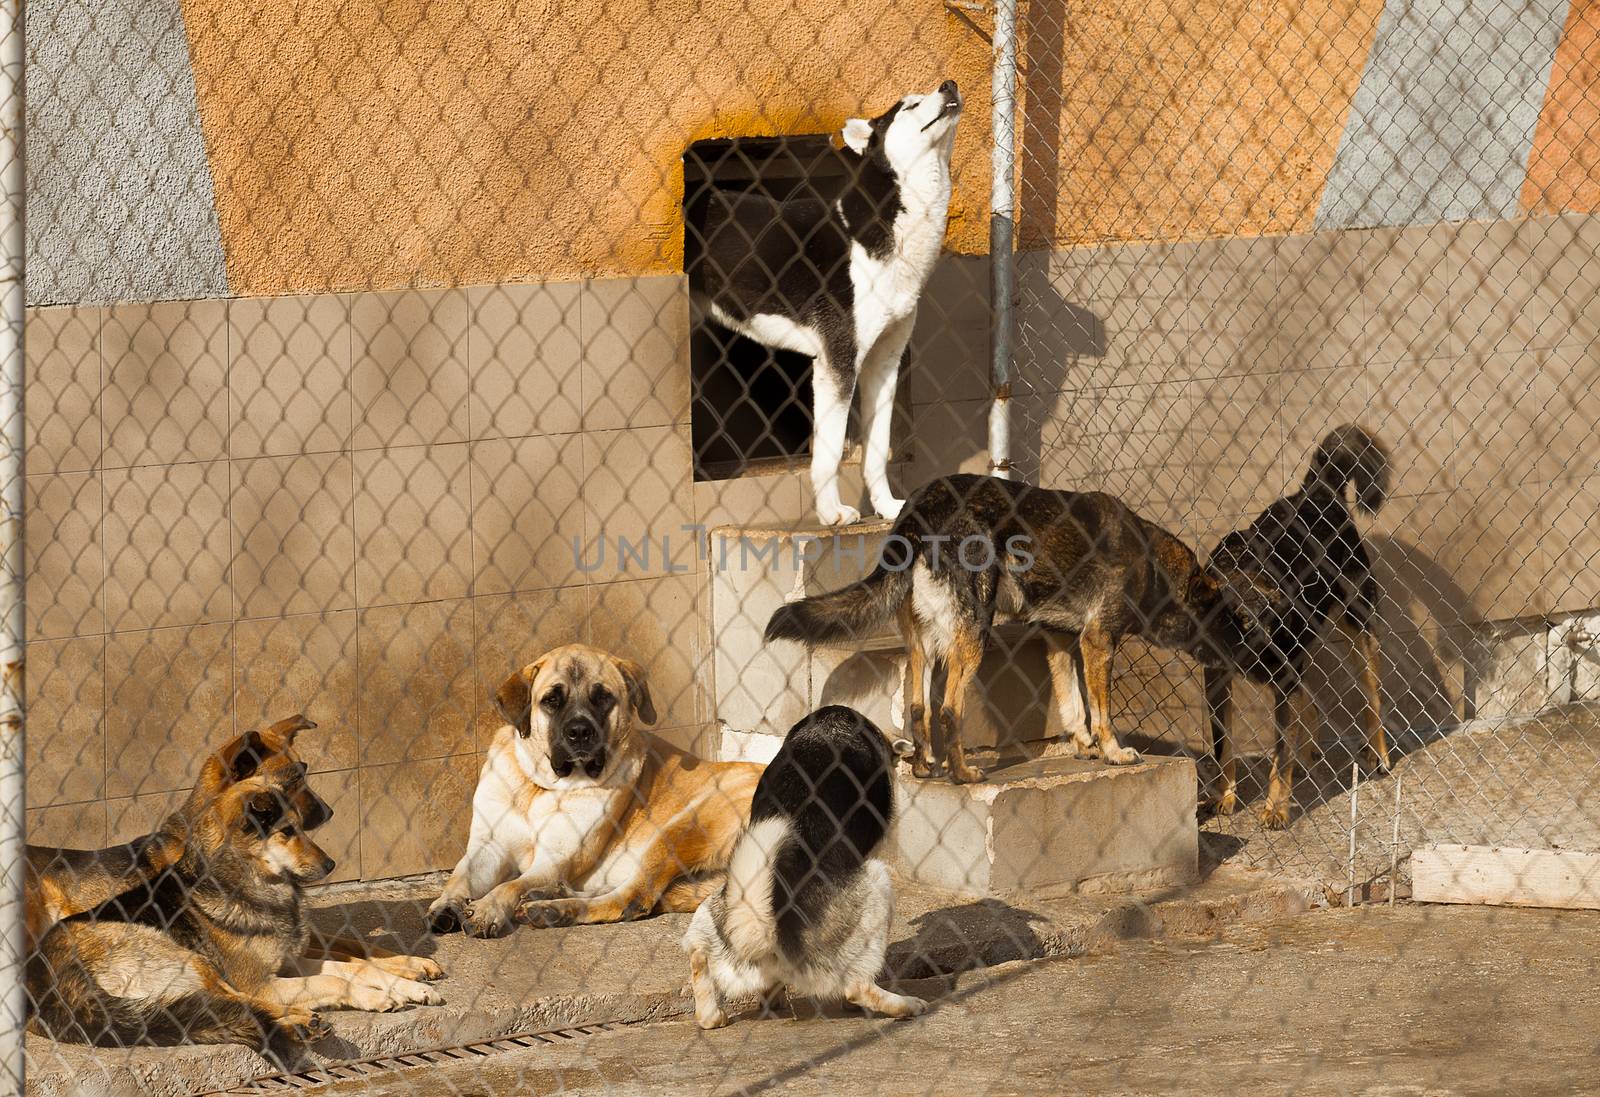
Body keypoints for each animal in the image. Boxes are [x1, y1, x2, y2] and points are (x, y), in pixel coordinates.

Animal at [428, 649, 764, 940]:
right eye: (552, 700)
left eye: (603, 698)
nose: (579, 732)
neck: (541, 786)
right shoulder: (489, 846)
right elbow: (461, 876)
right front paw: (447, 904)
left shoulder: (553, 859)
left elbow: (511, 886)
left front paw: (488, 908)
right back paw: (554, 895)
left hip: (684, 826)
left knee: (633, 899)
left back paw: (552, 909)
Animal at [678, 703, 928, 1029]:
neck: (829, 726)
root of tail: (766, 930)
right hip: (878, 883)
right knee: (856, 987)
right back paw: (904, 1005)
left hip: (711, 912)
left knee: (701, 959)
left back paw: (728, 1010)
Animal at [691, 79, 960, 527]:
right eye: (909, 106)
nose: (949, 84)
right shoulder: (838, 360)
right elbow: (830, 454)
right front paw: (832, 513)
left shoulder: (882, 363)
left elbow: (876, 452)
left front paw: (887, 507)